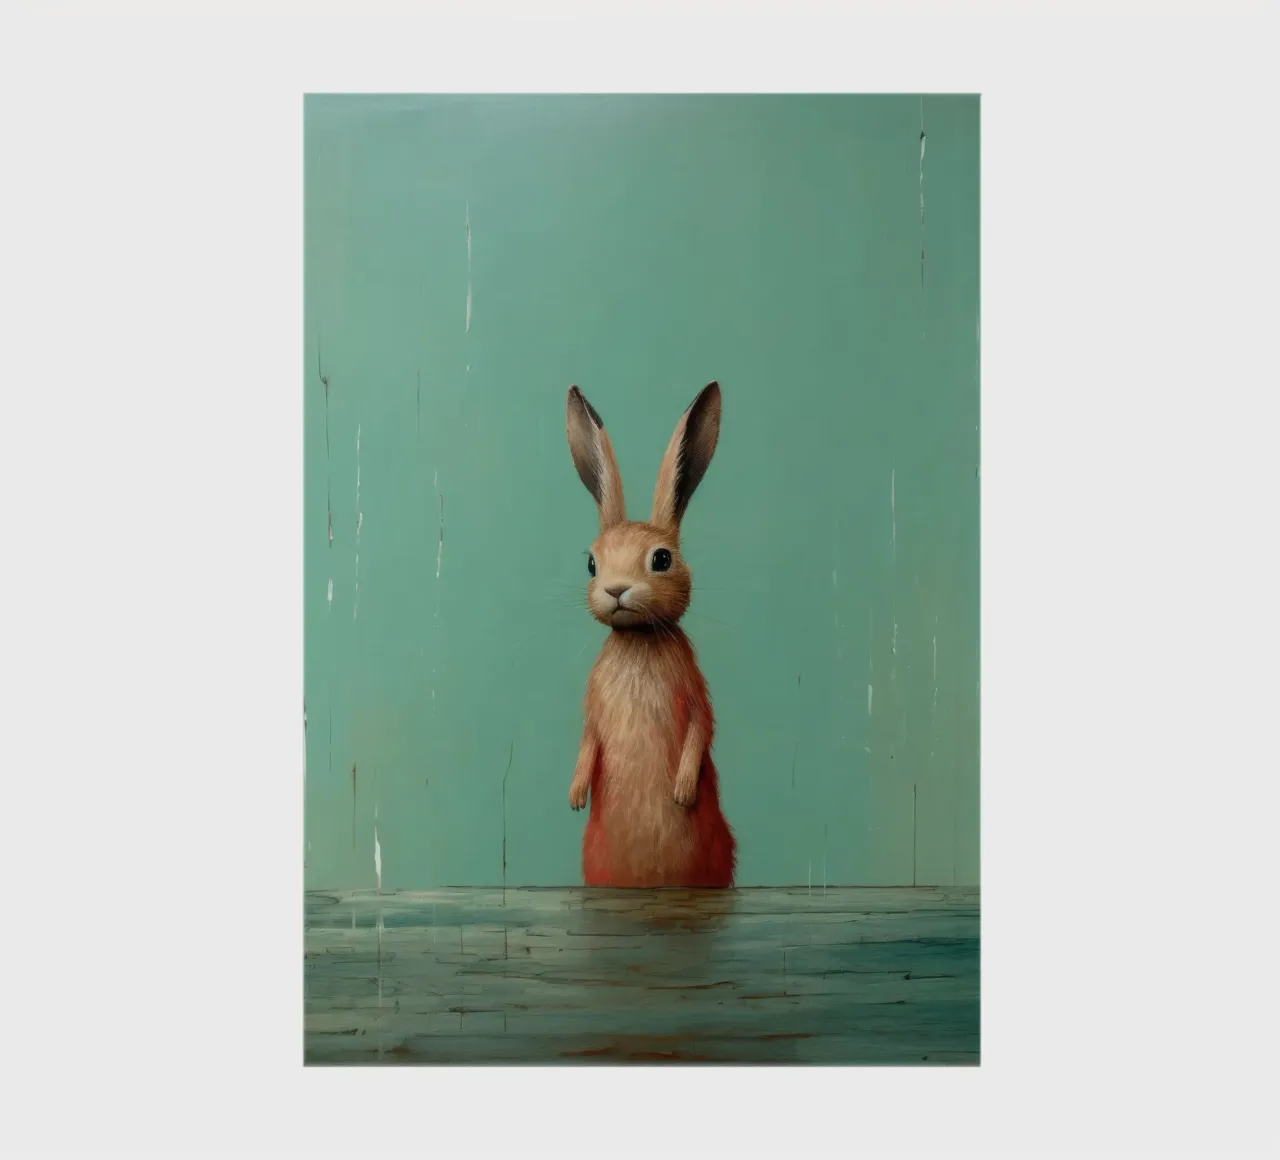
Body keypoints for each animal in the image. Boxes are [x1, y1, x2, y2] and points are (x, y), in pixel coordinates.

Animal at [564, 381, 736, 888]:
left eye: (661, 559)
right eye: (592, 564)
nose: (616, 590)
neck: (638, 637)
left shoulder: (696, 694)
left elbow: (702, 728)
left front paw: (681, 792)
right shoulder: (593, 711)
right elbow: (587, 740)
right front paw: (575, 795)